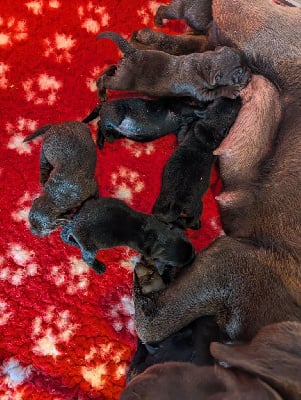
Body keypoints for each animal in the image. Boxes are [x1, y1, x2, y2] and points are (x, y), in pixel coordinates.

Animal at [60, 197, 195, 276]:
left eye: (191, 246)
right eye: (181, 264)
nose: (193, 256)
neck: (159, 238)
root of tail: (73, 223)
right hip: (89, 247)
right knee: (86, 258)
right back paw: (98, 267)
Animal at [96, 31, 251, 103]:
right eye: (238, 73)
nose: (250, 73)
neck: (202, 64)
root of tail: (132, 52)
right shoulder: (199, 91)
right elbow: (216, 92)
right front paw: (230, 90)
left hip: (121, 70)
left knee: (112, 68)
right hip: (123, 81)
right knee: (106, 81)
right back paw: (101, 92)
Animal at [152, 95, 241, 230]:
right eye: (217, 100)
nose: (239, 97)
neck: (212, 127)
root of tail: (177, 205)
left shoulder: (185, 134)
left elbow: (182, 133)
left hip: (189, 205)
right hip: (165, 201)